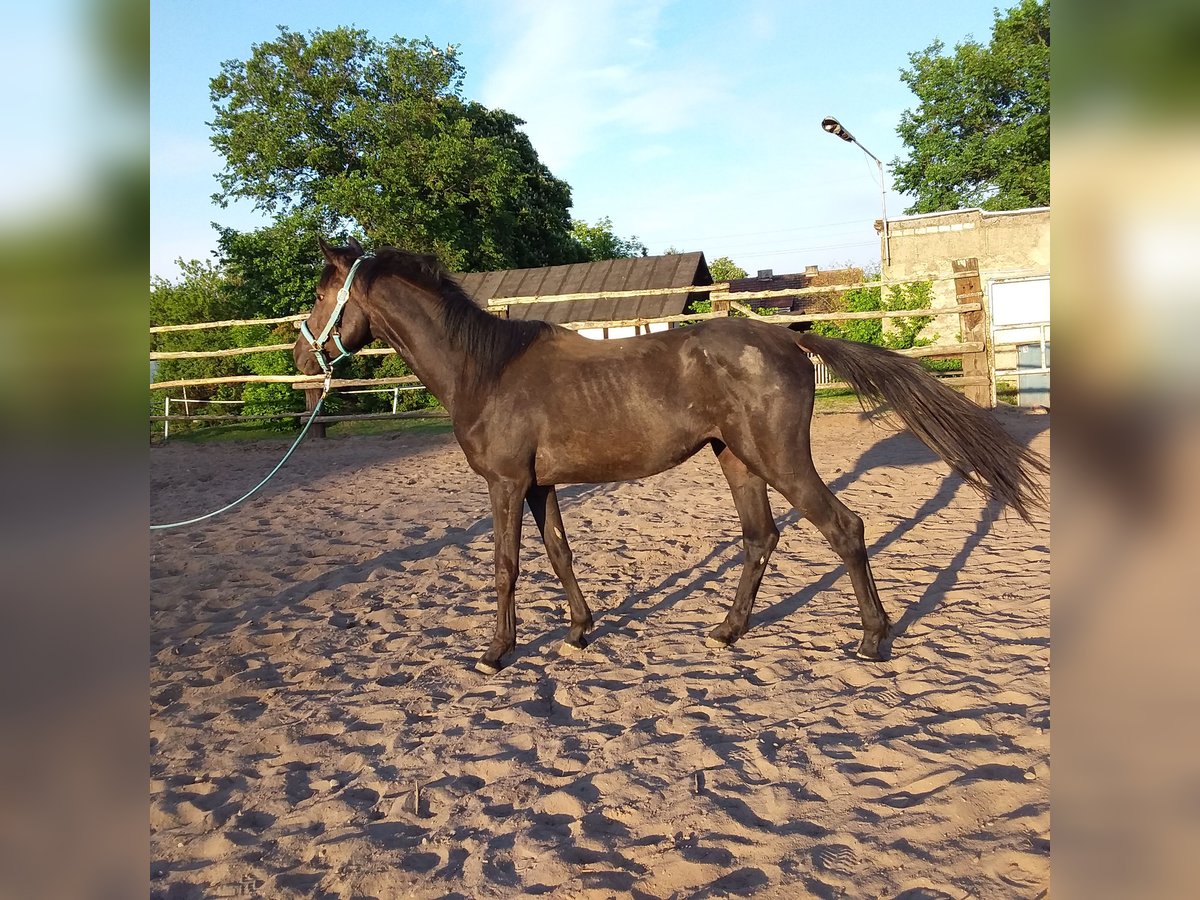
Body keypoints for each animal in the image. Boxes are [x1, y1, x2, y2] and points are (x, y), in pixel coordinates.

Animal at [295, 240, 1046, 676]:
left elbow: (506, 566)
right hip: (738, 461)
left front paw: (495, 653)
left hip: (779, 460)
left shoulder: (506, 484)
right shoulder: (540, 486)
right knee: (760, 538)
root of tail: (787, 340)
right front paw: (579, 631)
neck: (488, 368)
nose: (302, 357)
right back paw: (727, 631)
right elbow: (560, 553)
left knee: (844, 529)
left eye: (323, 293)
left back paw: (870, 639)